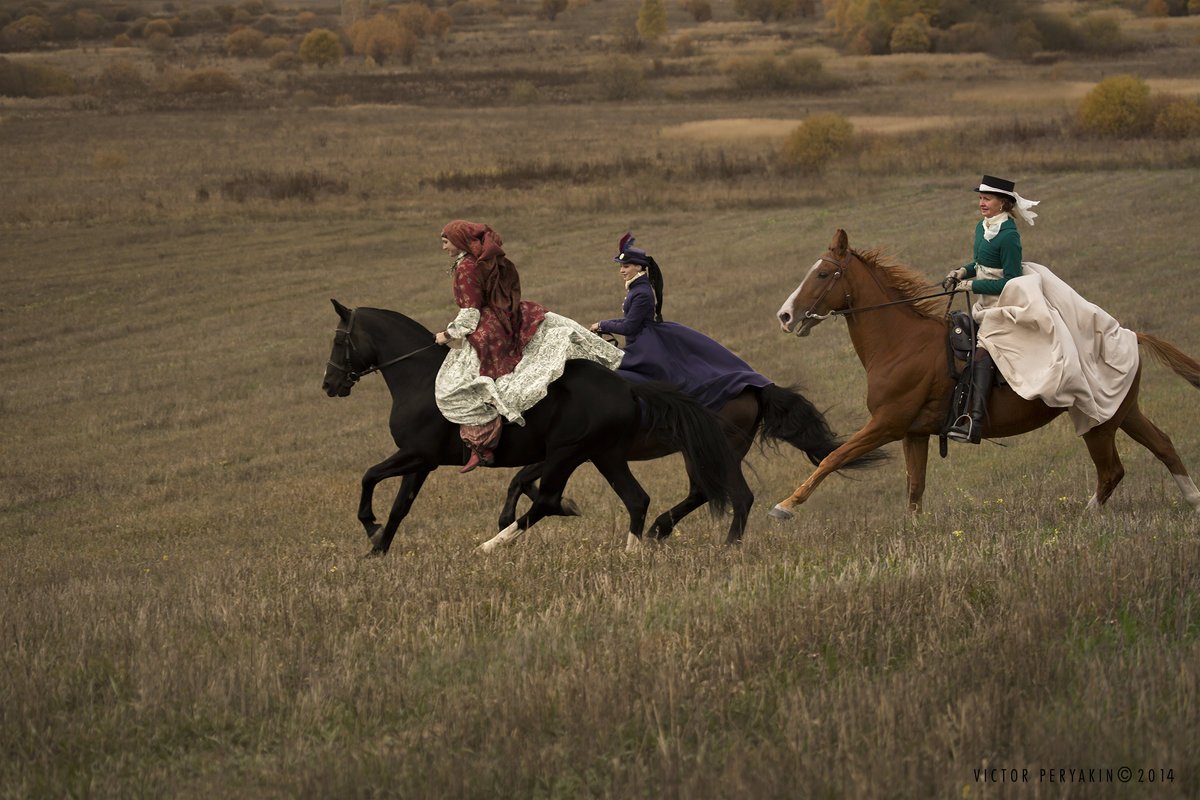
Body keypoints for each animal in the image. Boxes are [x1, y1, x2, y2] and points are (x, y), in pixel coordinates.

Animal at [319, 299, 748, 556]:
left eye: (339, 340)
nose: (329, 384)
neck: (421, 379)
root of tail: (626, 386)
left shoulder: (416, 454)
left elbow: (369, 477)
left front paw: (370, 528)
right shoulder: (421, 462)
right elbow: (399, 506)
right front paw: (377, 548)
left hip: (567, 453)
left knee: (548, 501)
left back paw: (489, 547)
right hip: (603, 454)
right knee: (636, 499)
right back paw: (631, 551)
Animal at [768, 231, 1200, 520]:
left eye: (822, 275)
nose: (785, 316)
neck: (900, 343)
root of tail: (1128, 334)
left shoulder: (887, 424)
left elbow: (833, 458)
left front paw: (785, 505)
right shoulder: (913, 432)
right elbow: (914, 487)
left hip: (1098, 424)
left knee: (1112, 471)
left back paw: (1086, 517)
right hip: (1122, 413)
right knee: (1162, 446)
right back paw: (1193, 500)